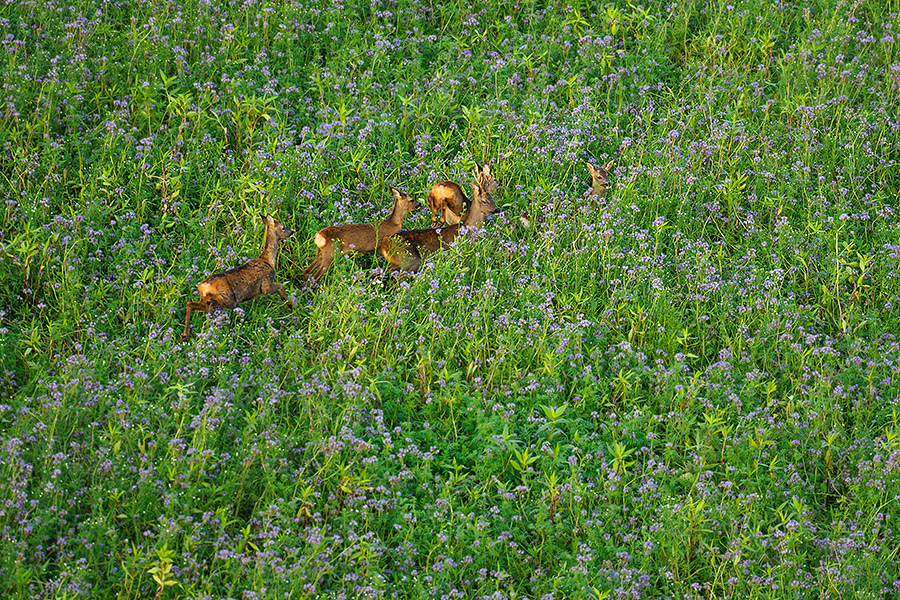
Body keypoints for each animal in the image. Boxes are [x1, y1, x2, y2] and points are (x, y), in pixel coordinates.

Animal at [180, 214, 296, 342]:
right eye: (283, 227)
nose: (292, 231)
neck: (268, 260)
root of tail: (202, 286)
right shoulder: (266, 284)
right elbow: (280, 285)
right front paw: (290, 304)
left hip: (207, 300)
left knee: (190, 304)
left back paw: (185, 336)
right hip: (227, 299)